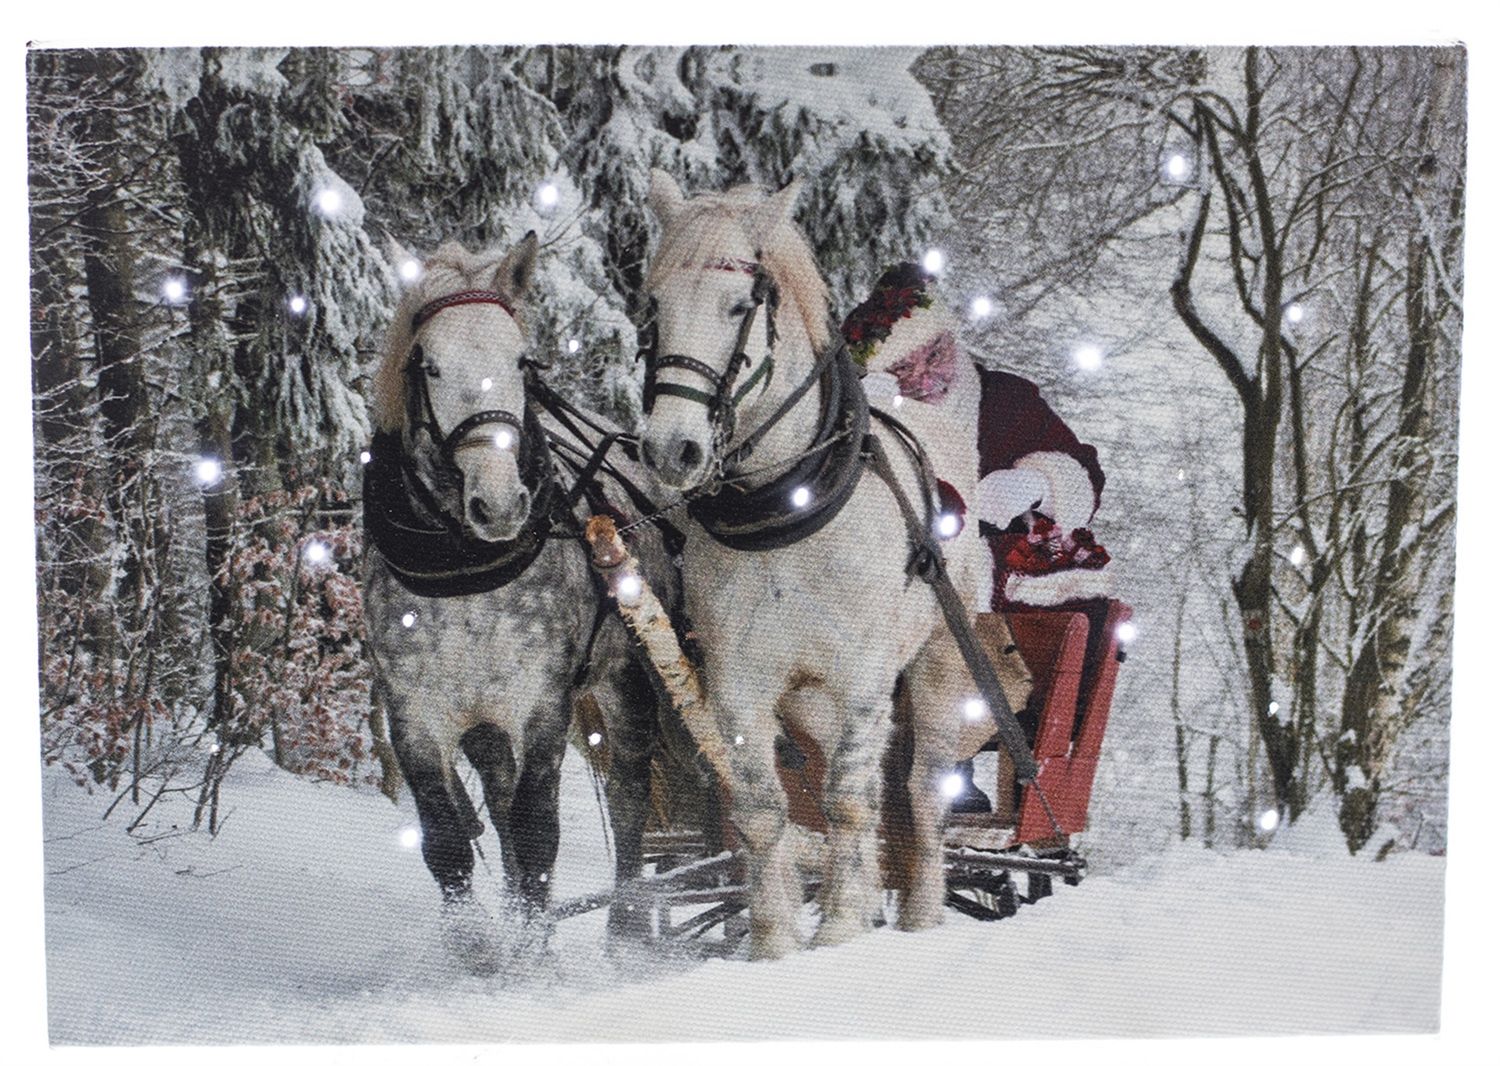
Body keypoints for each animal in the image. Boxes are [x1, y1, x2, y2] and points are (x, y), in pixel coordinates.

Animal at [362, 234, 684, 972]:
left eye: (520, 360)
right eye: (429, 365)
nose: (501, 503)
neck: (463, 569)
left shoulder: (541, 704)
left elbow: (539, 830)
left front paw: (534, 957)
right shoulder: (413, 714)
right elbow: (448, 837)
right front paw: (478, 943)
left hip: (628, 678)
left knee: (628, 791)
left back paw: (626, 928)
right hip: (484, 719)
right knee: (500, 795)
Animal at [638, 171, 990, 957]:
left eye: (740, 305)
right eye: (654, 307)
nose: (671, 449)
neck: (786, 513)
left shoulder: (864, 676)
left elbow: (850, 803)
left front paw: (838, 931)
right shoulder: (739, 683)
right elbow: (765, 809)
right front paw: (773, 941)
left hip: (939, 664)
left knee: (921, 791)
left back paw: (920, 913)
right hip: (809, 698)